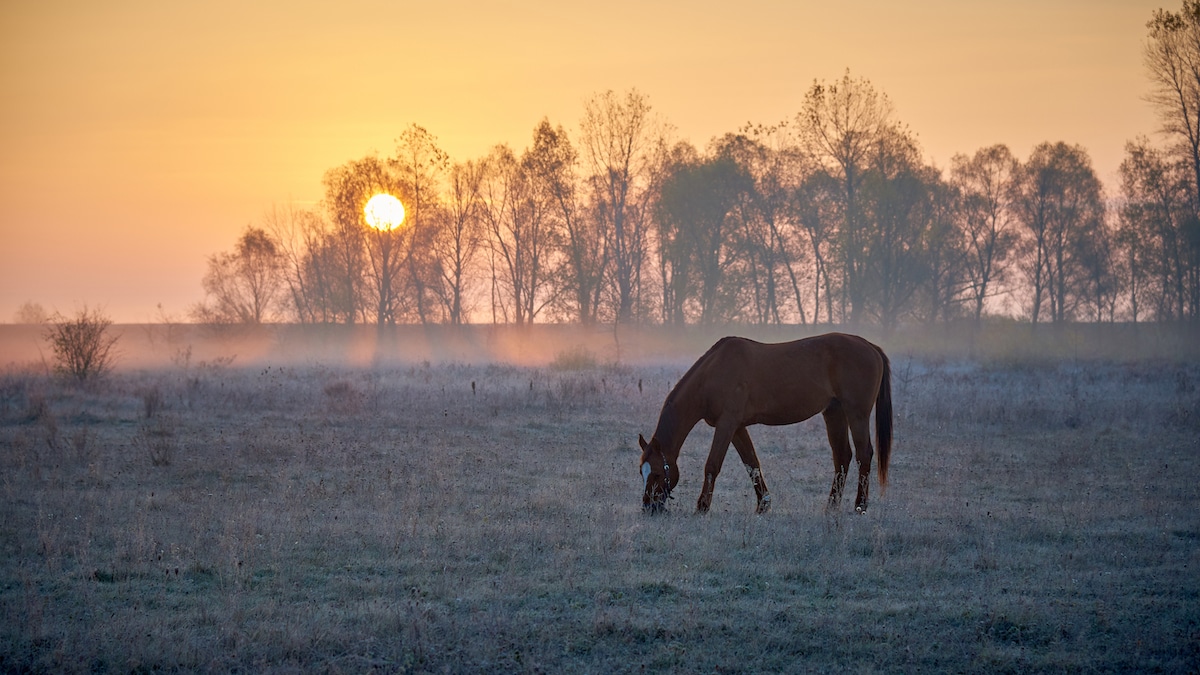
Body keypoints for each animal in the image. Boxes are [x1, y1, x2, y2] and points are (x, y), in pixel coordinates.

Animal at [638, 333, 892, 515]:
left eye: (658, 474)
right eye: (642, 472)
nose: (649, 507)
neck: (713, 374)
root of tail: (871, 347)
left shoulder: (727, 424)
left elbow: (712, 465)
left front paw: (702, 507)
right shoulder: (737, 428)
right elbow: (752, 464)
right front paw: (763, 504)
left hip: (857, 414)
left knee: (863, 454)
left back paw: (860, 505)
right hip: (834, 412)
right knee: (842, 457)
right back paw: (831, 506)